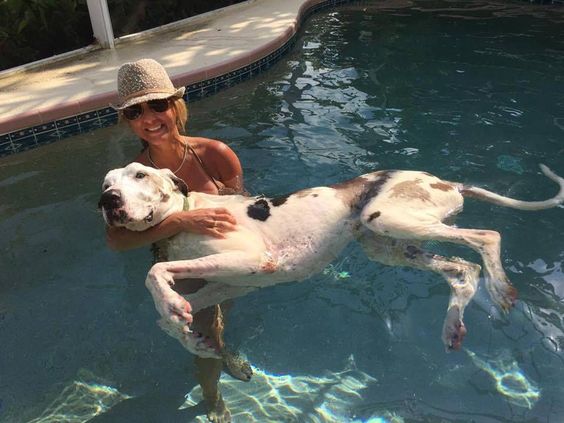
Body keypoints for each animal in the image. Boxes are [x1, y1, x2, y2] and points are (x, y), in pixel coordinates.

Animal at [99, 162, 560, 358]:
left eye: (140, 175)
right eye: (105, 184)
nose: (108, 201)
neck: (181, 217)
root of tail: (448, 180)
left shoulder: (252, 259)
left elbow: (154, 272)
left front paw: (171, 304)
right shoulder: (234, 282)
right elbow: (164, 315)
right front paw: (191, 336)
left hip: (391, 218)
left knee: (487, 237)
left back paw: (501, 289)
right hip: (388, 245)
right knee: (463, 271)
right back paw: (452, 325)